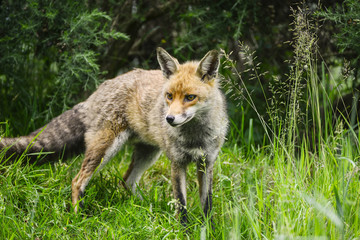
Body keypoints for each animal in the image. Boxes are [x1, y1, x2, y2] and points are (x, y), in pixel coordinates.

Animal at [0, 48, 228, 225]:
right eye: (169, 96)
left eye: (190, 97)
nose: (169, 119)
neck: (195, 137)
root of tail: (102, 86)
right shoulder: (177, 162)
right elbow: (181, 204)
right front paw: (184, 231)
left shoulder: (206, 162)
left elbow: (207, 205)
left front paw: (208, 230)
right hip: (105, 148)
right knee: (77, 181)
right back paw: (79, 218)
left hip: (148, 152)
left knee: (126, 181)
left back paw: (148, 208)